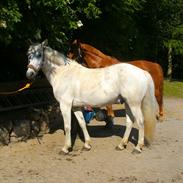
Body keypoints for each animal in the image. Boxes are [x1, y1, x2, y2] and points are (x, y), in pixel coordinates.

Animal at [26, 40, 157, 154]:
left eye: (39, 54)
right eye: (28, 55)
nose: (29, 74)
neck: (64, 73)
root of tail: (143, 72)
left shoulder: (65, 105)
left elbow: (67, 127)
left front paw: (65, 148)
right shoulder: (76, 107)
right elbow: (82, 123)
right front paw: (87, 145)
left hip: (134, 104)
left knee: (140, 122)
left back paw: (138, 148)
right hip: (127, 103)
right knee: (130, 122)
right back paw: (121, 145)